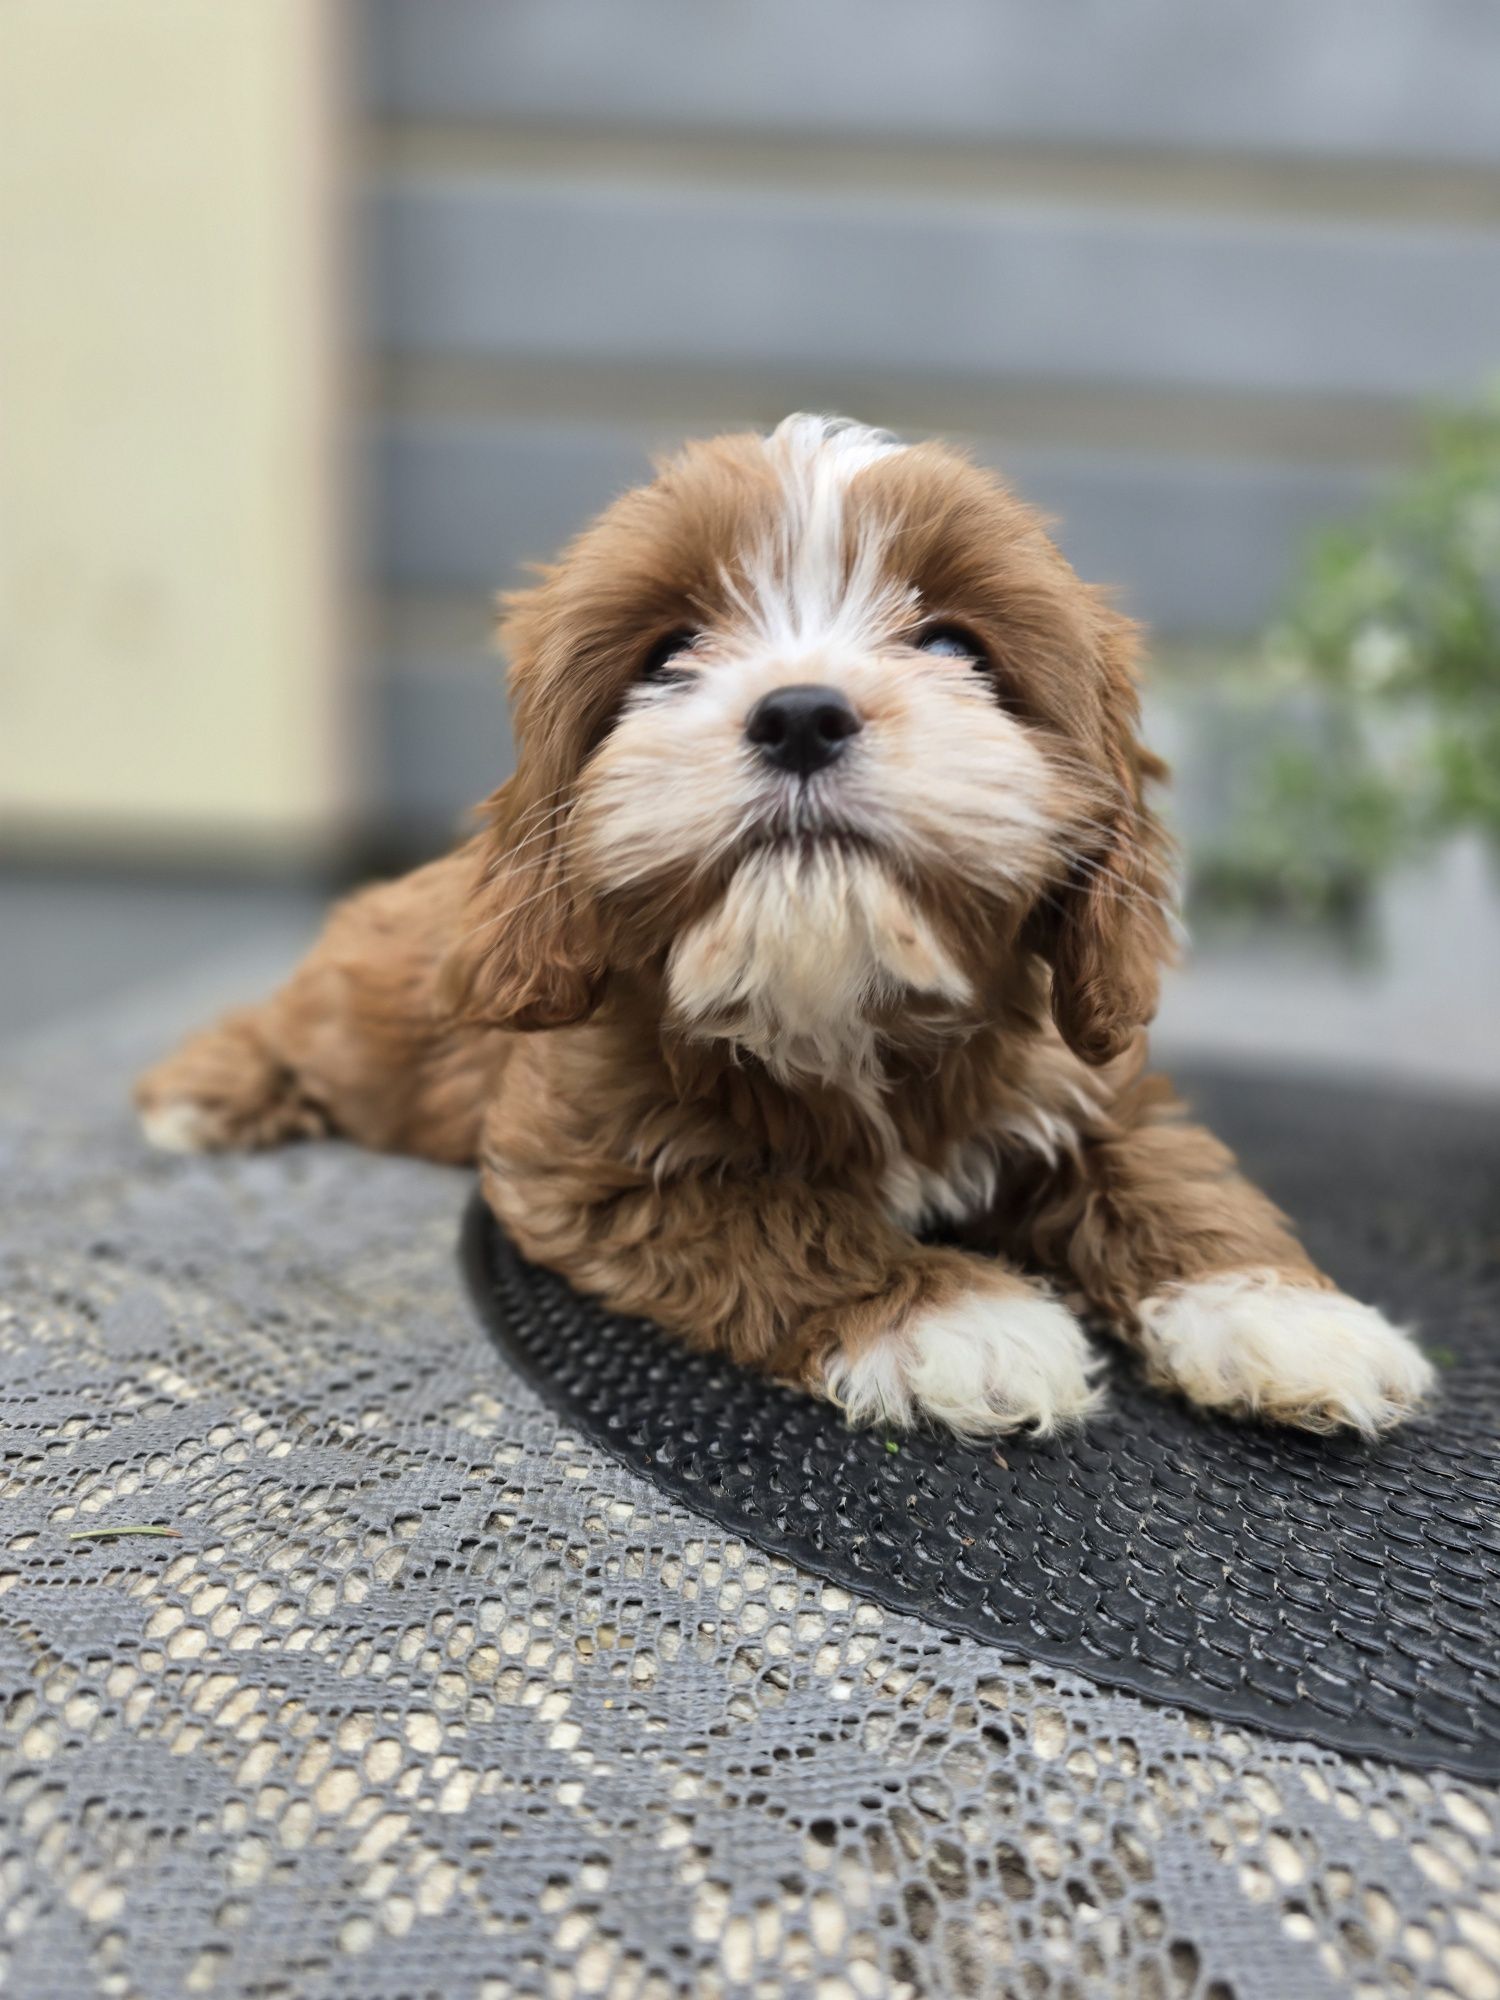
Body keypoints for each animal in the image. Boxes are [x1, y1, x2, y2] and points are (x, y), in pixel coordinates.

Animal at [138, 418, 1432, 1440]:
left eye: (956, 645)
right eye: (667, 655)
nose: (801, 712)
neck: (844, 1007)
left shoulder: (1087, 1077)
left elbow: (1173, 1169)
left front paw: (1281, 1313)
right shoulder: (583, 1160)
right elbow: (773, 1212)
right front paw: (958, 1316)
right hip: (358, 1010)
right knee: (285, 1023)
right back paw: (206, 1088)